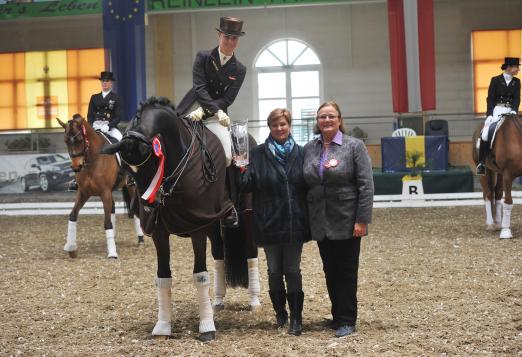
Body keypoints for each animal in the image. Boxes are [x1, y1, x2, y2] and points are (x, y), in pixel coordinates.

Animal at [56, 115, 144, 258]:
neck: (92, 160)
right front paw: (71, 247)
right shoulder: (83, 193)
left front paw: (112, 253)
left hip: (131, 187)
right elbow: (73, 215)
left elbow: (107, 222)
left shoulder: (104, 192)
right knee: (113, 208)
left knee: (134, 208)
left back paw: (141, 239)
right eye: (66, 141)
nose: (76, 167)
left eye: (80, 140)